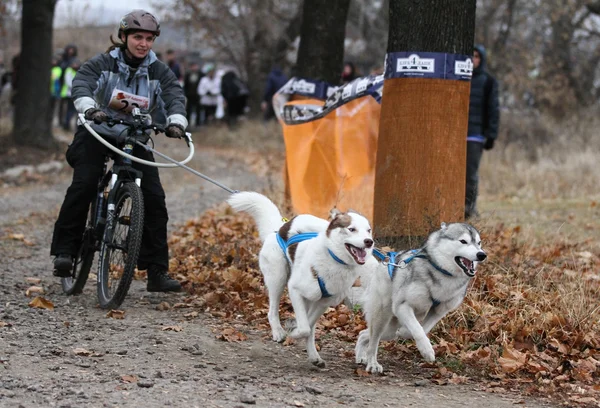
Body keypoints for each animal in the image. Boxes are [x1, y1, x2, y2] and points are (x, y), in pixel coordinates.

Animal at [227, 191, 372, 366]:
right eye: (352, 229)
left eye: (369, 230)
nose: (369, 242)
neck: (334, 259)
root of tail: (278, 229)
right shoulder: (294, 290)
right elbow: (304, 328)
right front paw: (293, 333)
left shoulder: (323, 303)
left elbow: (307, 327)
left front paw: (296, 332)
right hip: (278, 278)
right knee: (272, 311)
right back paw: (278, 332)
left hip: (309, 299)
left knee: (309, 326)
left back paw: (314, 357)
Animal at [354, 223, 486, 372]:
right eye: (463, 241)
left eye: (479, 243)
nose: (482, 255)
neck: (443, 273)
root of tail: (386, 262)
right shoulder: (403, 306)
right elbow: (417, 330)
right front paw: (426, 350)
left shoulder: (439, 312)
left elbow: (422, 328)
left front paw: (405, 332)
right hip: (381, 317)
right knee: (373, 341)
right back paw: (372, 363)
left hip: (389, 330)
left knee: (364, 334)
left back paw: (361, 355)